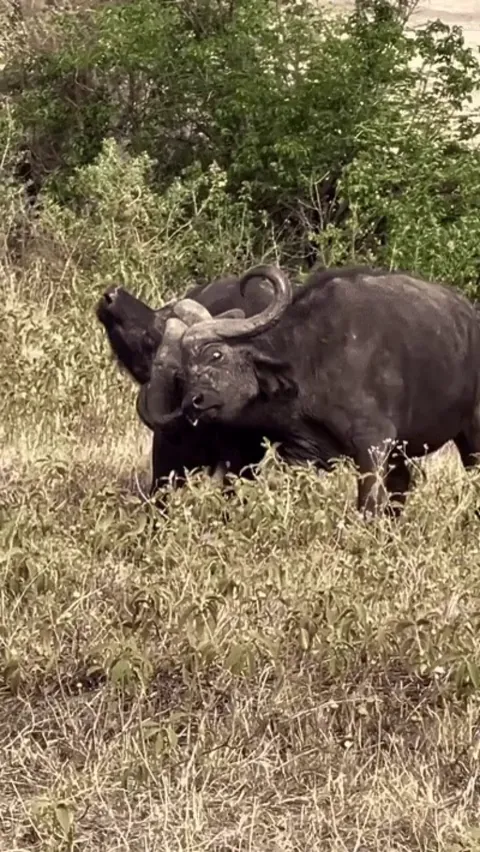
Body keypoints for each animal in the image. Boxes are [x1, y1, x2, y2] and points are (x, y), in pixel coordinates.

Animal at [140, 264, 480, 516]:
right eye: (183, 375)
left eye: (215, 355)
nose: (193, 403)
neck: (311, 360)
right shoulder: (301, 452)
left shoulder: (374, 441)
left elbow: (368, 503)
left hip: (471, 435)